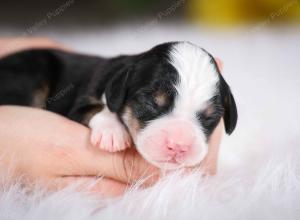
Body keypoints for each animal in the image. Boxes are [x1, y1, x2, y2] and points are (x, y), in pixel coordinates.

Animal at [0, 41, 238, 170]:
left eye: (210, 117)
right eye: (151, 102)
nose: (179, 146)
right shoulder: (77, 104)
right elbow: (97, 108)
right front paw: (112, 132)